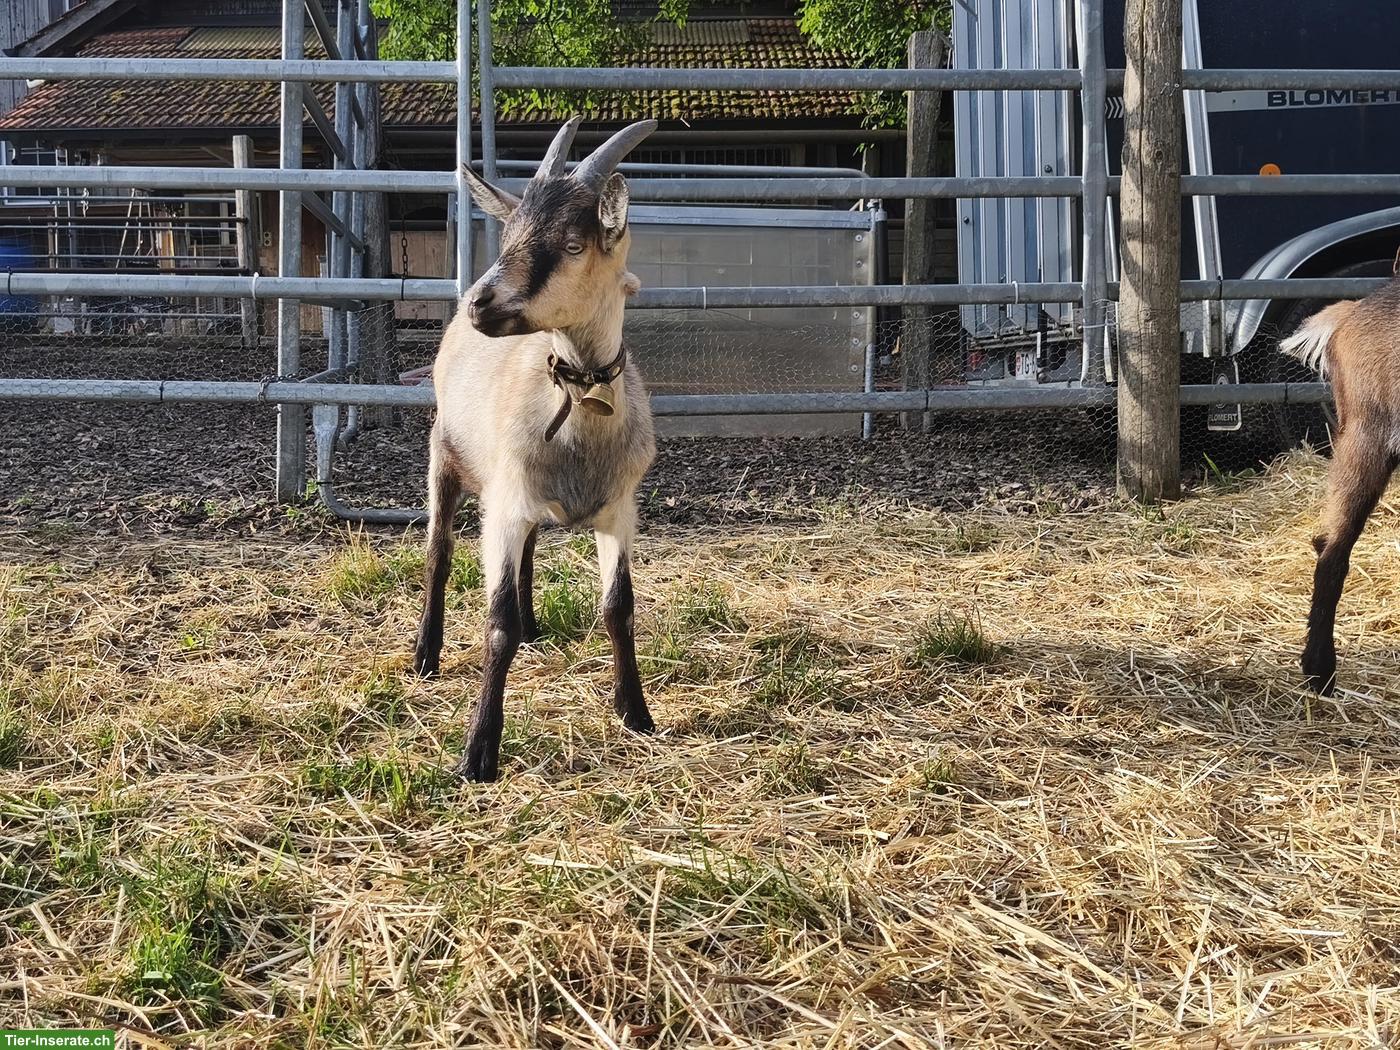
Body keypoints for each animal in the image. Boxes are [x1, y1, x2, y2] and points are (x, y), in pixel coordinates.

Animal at [413, 117, 659, 781]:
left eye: (573, 245)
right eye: (510, 234)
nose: (481, 302)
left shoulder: (619, 512)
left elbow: (619, 609)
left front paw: (636, 714)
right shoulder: (502, 506)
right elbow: (493, 624)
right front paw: (478, 750)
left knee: (526, 551)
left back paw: (531, 624)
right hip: (445, 457)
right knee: (439, 553)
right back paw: (425, 654)